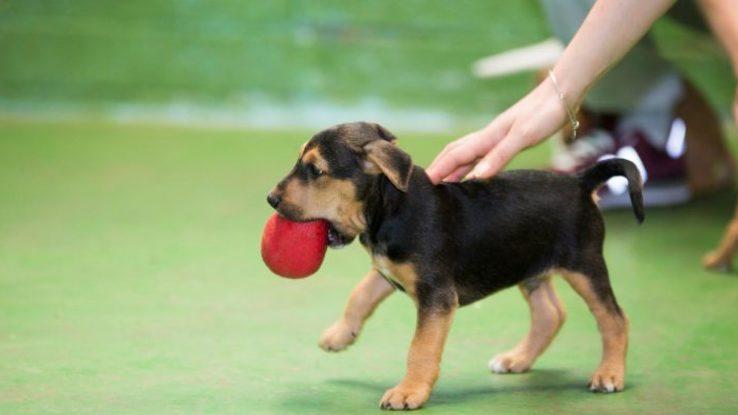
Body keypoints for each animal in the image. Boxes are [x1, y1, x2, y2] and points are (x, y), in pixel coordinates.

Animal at [268, 122, 640, 412]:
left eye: (316, 171)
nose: (271, 199)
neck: (390, 206)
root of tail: (579, 181)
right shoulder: (387, 270)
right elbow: (360, 294)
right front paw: (339, 335)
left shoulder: (437, 295)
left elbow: (420, 347)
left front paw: (409, 392)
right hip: (530, 268)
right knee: (551, 314)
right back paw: (516, 359)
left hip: (585, 266)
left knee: (615, 318)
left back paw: (609, 374)